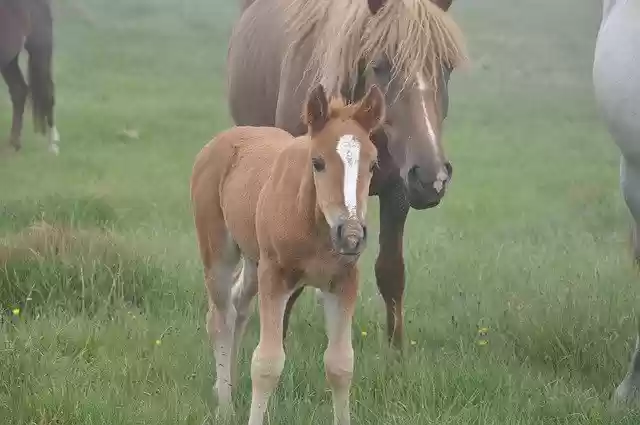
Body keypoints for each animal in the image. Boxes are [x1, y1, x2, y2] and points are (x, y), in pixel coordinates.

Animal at [0, 0, 59, 154]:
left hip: (37, 48)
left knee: (46, 90)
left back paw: (52, 146)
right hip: (10, 59)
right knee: (19, 91)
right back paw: (14, 143)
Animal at [191, 84, 385, 424]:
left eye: (373, 164)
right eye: (317, 162)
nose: (350, 235)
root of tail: (222, 139)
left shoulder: (343, 282)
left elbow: (340, 365)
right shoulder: (276, 276)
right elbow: (267, 363)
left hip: (254, 262)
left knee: (239, 306)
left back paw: (227, 385)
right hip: (219, 252)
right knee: (220, 318)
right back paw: (225, 404)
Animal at [227, 0, 468, 350]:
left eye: (446, 67)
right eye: (380, 65)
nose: (431, 178)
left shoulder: (397, 192)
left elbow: (391, 272)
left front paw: (396, 354)